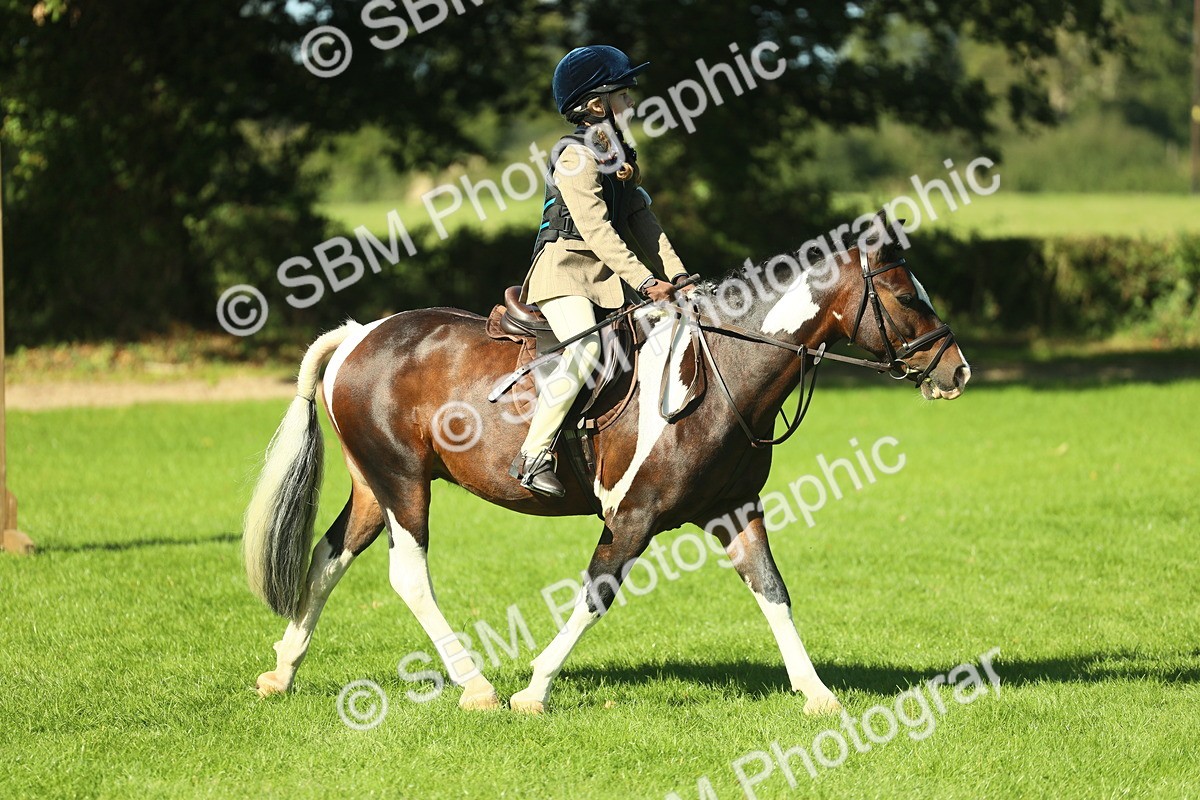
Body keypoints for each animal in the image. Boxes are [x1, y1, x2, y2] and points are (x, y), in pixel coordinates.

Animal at [242, 212, 970, 715]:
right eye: (908, 298)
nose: (957, 371)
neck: (722, 373)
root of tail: (359, 334)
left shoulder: (735, 510)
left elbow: (772, 589)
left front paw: (816, 693)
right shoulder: (634, 515)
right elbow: (597, 592)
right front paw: (534, 690)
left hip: (376, 485)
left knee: (328, 556)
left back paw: (282, 671)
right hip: (404, 483)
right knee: (407, 576)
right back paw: (476, 685)